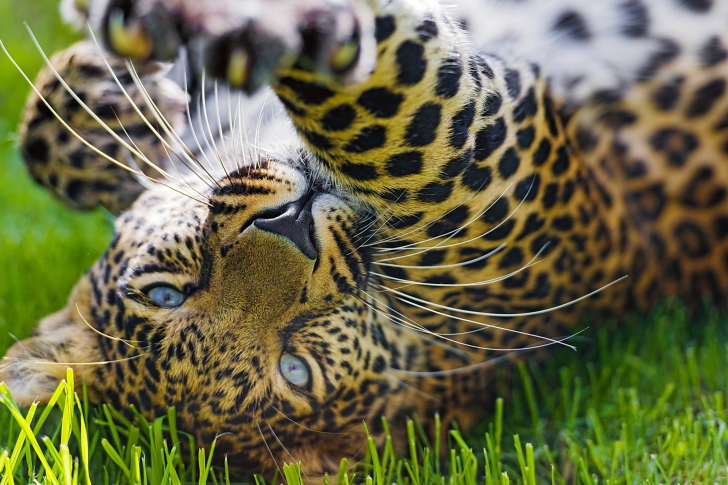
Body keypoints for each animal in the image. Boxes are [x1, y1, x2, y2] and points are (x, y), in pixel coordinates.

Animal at [1, 0, 728, 478]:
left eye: (164, 293)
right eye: (296, 368)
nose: (290, 224)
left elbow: (42, 134)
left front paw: (107, 90)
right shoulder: (474, 162)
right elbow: (376, 102)